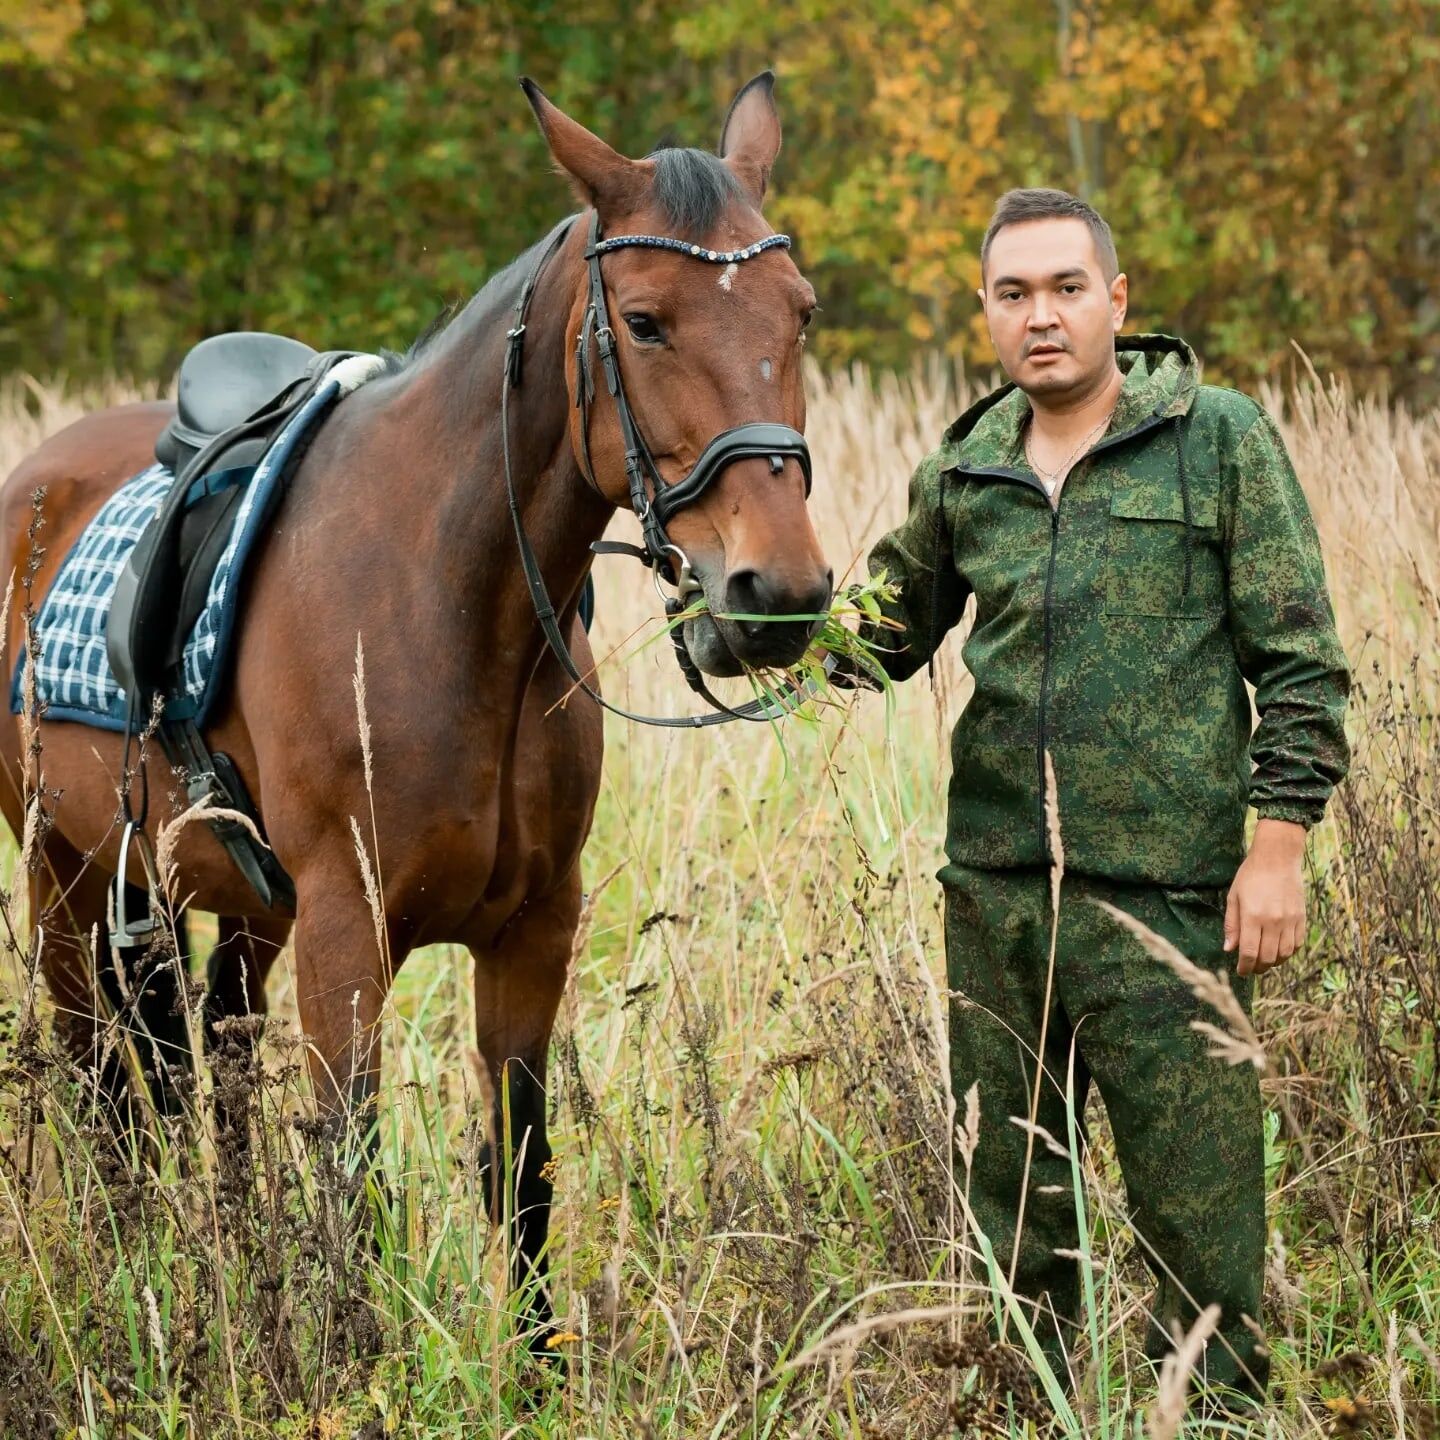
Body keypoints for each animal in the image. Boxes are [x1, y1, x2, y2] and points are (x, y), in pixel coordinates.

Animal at [0, 73, 829, 1336]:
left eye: (802, 314)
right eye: (644, 321)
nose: (776, 594)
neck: (448, 598)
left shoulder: (533, 930)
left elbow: (523, 1169)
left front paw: (534, 1360)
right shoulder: (350, 933)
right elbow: (352, 1170)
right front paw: (352, 1355)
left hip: (237, 903)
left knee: (215, 1064)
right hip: (65, 876)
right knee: (104, 1093)